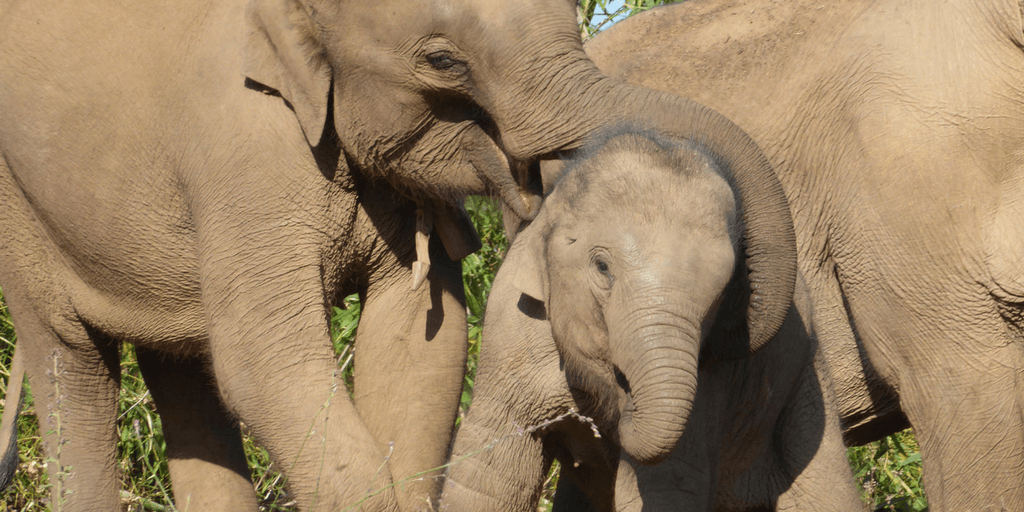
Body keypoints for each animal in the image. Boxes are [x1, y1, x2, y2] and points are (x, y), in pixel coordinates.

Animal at [0, 0, 774, 507]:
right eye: (442, 60)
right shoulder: (240, 147)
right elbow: (266, 363)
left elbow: (421, 347)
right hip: (21, 209)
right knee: (70, 361)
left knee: (183, 366)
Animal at [440, 129, 864, 512]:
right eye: (602, 267)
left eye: (723, 291)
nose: (607, 421)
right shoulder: (511, 328)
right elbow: (487, 477)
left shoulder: (708, 377)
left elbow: (669, 486)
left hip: (806, 392)